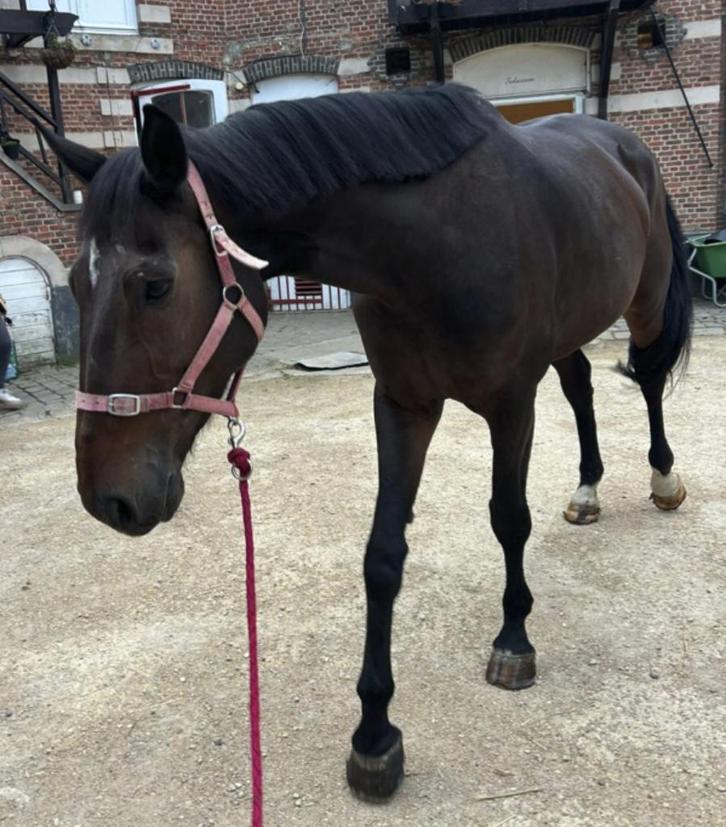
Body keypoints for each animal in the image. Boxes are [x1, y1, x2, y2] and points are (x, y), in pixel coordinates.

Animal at [46, 83, 691, 802]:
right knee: (581, 386)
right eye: (76, 286)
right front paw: (375, 735)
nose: (108, 499)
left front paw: (514, 640)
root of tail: (625, 146)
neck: (436, 248)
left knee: (649, 377)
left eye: (155, 285)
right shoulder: (403, 405)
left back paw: (664, 478)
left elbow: (508, 519)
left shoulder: (511, 404)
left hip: (644, 302)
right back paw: (587, 488)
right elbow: (382, 557)